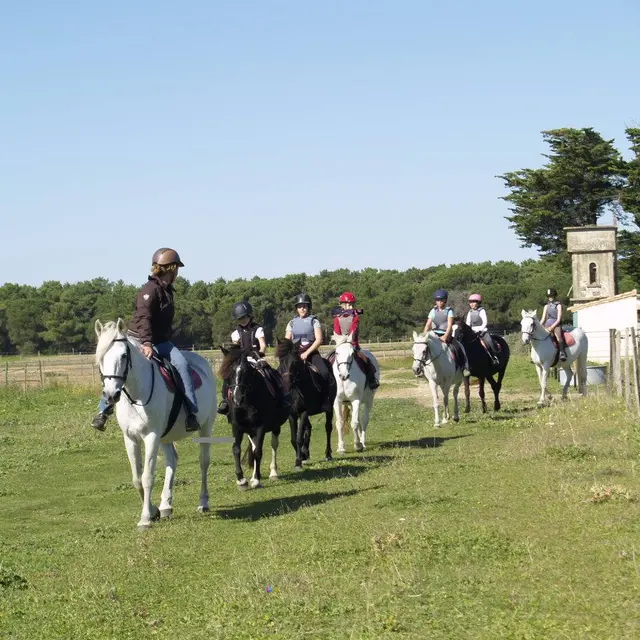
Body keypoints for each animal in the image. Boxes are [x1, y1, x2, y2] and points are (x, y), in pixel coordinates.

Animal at [94, 318, 216, 528]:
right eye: (101, 357)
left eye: (124, 355)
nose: (110, 395)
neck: (136, 395)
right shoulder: (130, 438)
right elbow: (136, 478)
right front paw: (153, 511)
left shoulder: (151, 437)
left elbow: (147, 477)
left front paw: (145, 519)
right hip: (165, 437)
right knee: (172, 461)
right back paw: (166, 505)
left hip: (205, 428)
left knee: (204, 462)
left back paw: (203, 502)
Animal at [220, 344, 290, 490]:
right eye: (229, 373)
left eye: (246, 372)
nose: (237, 399)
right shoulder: (237, 426)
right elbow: (236, 449)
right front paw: (241, 480)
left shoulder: (260, 427)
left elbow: (258, 451)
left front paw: (256, 480)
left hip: (275, 427)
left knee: (274, 445)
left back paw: (273, 473)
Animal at [276, 340, 338, 470]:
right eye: (280, 360)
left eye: (294, 362)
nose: (286, 385)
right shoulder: (292, 415)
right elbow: (294, 438)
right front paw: (302, 456)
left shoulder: (303, 412)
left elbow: (299, 438)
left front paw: (298, 462)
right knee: (308, 428)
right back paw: (306, 452)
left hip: (329, 409)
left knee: (328, 428)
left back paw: (328, 454)